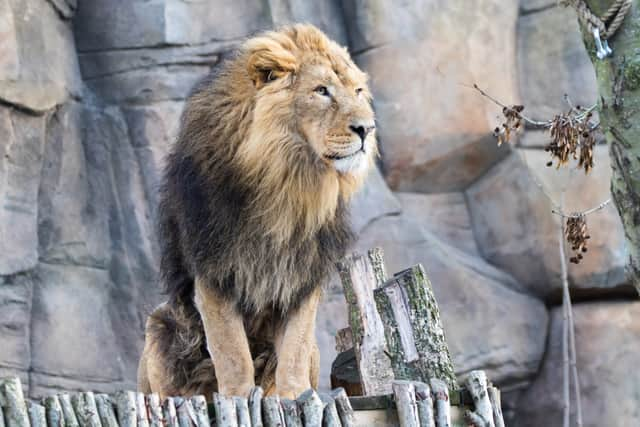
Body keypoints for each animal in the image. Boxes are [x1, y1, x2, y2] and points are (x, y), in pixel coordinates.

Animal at [135, 24, 376, 402]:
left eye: (358, 91)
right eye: (321, 91)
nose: (367, 129)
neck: (287, 181)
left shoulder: (303, 271)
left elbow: (294, 348)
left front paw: (293, 396)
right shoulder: (214, 268)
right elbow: (231, 351)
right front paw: (236, 398)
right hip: (160, 324)